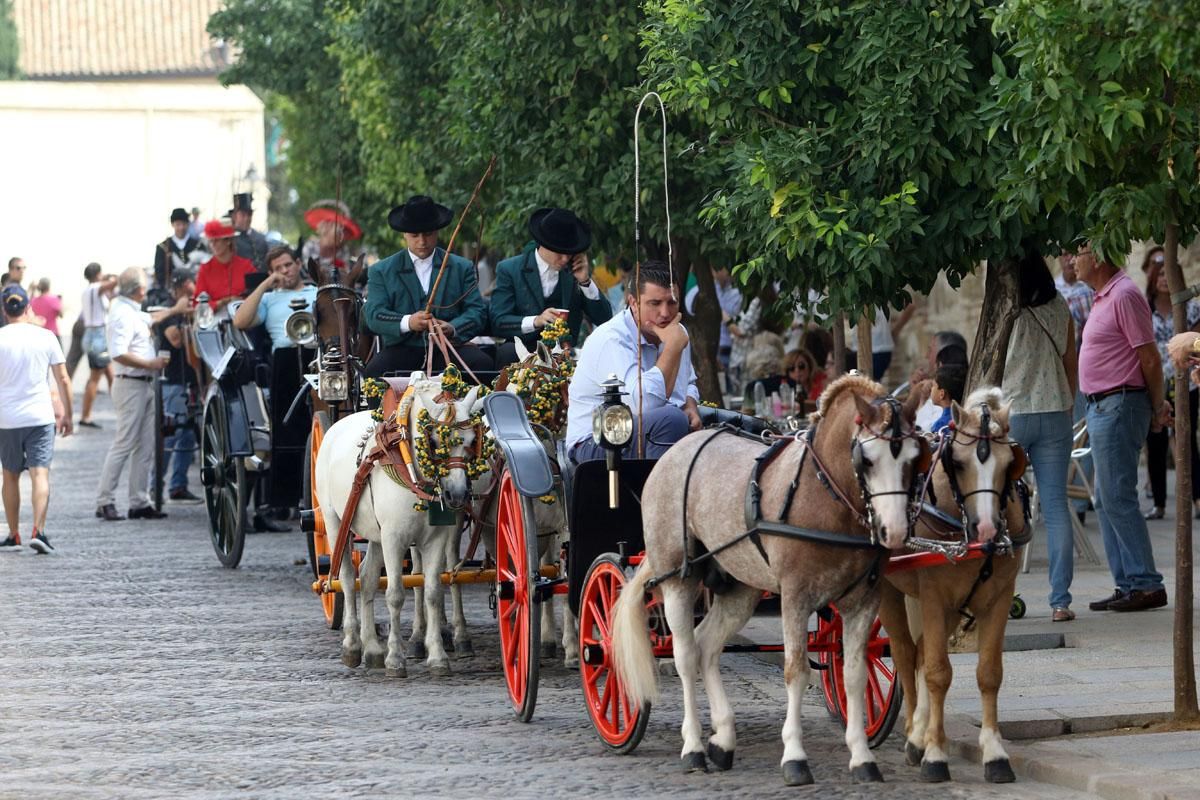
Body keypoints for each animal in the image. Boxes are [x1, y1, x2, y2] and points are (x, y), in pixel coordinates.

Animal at [319, 376, 492, 676]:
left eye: (472, 440)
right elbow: (396, 594)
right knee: (347, 578)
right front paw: (396, 658)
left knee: (366, 578)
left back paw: (372, 649)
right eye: (434, 441)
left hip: (375, 534)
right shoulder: (394, 538)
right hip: (334, 522)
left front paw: (437, 656)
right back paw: (352, 645)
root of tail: (335, 428)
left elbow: (433, 591)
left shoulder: (434, 538)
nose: (458, 495)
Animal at [614, 376, 921, 786]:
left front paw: (861, 757)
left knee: (707, 646)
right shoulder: (795, 596)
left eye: (915, 457)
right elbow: (796, 671)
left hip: (739, 586)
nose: (895, 531)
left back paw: (723, 739)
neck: (824, 496)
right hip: (678, 575)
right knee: (685, 655)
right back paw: (693, 747)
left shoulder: (863, 600)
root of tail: (676, 452)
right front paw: (794, 756)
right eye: (867, 458)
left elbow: (855, 675)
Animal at [878, 383, 1027, 786]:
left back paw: (920, 731)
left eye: (1009, 463)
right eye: (958, 464)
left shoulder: (998, 600)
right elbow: (937, 673)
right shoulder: (933, 597)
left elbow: (988, 673)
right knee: (905, 654)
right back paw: (914, 736)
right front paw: (935, 755)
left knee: (921, 653)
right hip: (889, 591)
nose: (988, 529)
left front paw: (994, 753)